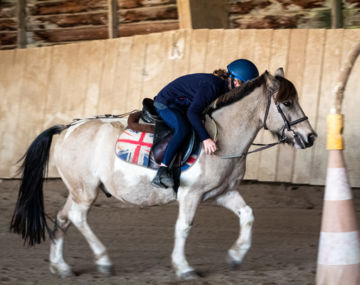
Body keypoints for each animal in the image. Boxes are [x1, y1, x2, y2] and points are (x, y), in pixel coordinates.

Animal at [10, 67, 316, 278]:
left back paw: (60, 266)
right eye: (287, 103)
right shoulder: (191, 195)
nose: (310, 137)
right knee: (76, 218)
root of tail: (66, 128)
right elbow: (184, 228)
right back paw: (103, 260)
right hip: (85, 191)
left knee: (62, 219)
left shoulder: (222, 193)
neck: (224, 136)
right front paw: (184, 268)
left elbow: (248, 215)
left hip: (76, 190)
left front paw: (236, 256)